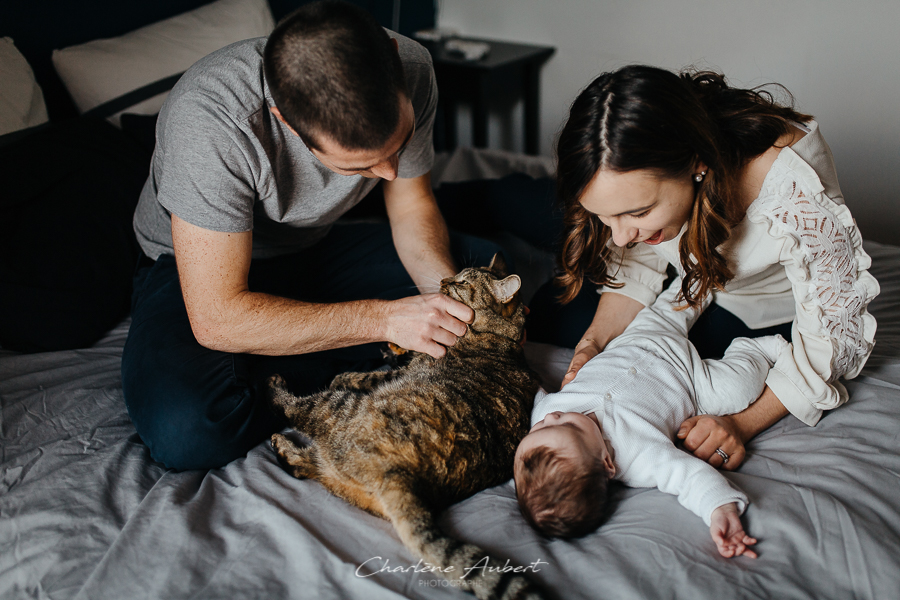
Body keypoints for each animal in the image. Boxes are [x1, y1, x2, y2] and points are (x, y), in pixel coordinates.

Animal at [268, 254, 544, 600]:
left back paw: (276, 388)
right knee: (310, 467)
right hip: (342, 474)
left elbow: (364, 376)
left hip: (340, 408)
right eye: (456, 274)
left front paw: (346, 373)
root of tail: (405, 477)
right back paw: (283, 447)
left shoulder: (401, 371)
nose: (443, 280)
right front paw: (392, 346)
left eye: (463, 282)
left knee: (297, 411)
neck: (502, 336)